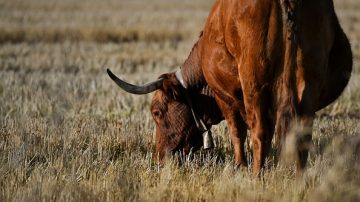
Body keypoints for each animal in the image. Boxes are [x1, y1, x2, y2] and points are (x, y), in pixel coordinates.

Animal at [107, 0, 352, 174]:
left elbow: (237, 131)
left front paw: (240, 167)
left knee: (259, 131)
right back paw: (298, 177)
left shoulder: (225, 97)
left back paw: (256, 176)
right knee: (301, 131)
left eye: (157, 112)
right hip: (308, 82)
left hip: (253, 82)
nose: (160, 159)